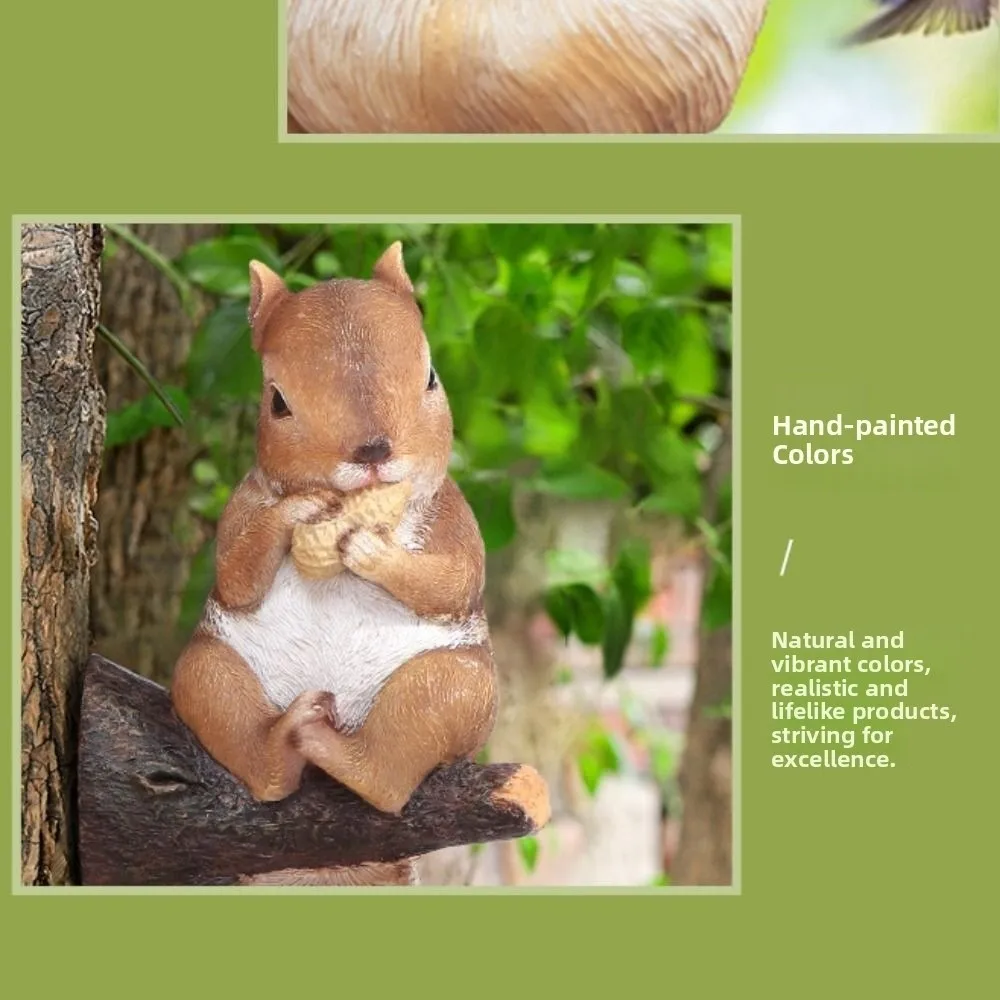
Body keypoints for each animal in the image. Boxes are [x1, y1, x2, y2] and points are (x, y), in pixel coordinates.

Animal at [170, 242, 499, 885]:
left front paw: (370, 551)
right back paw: (285, 742)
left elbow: (455, 581)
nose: (373, 451)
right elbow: (237, 574)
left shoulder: (455, 516)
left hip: (455, 689)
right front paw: (298, 512)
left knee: (392, 770)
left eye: (431, 377)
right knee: (230, 718)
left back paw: (336, 749)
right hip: (212, 668)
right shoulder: (242, 504)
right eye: (277, 401)